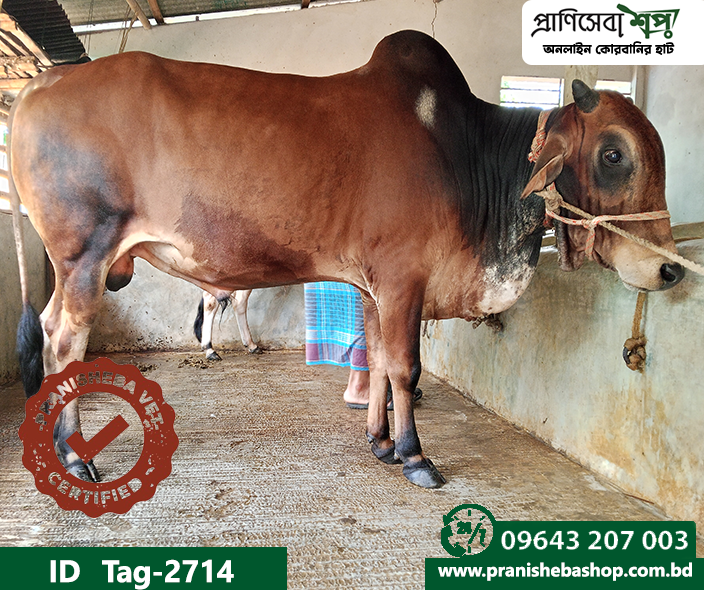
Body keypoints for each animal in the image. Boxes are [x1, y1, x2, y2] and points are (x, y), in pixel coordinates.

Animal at [9, 30, 684, 489]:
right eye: (614, 153)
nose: (670, 268)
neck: (467, 158)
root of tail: (40, 84)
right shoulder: (405, 278)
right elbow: (406, 367)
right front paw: (414, 455)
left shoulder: (374, 287)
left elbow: (380, 361)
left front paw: (380, 442)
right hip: (84, 257)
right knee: (63, 340)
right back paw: (76, 457)